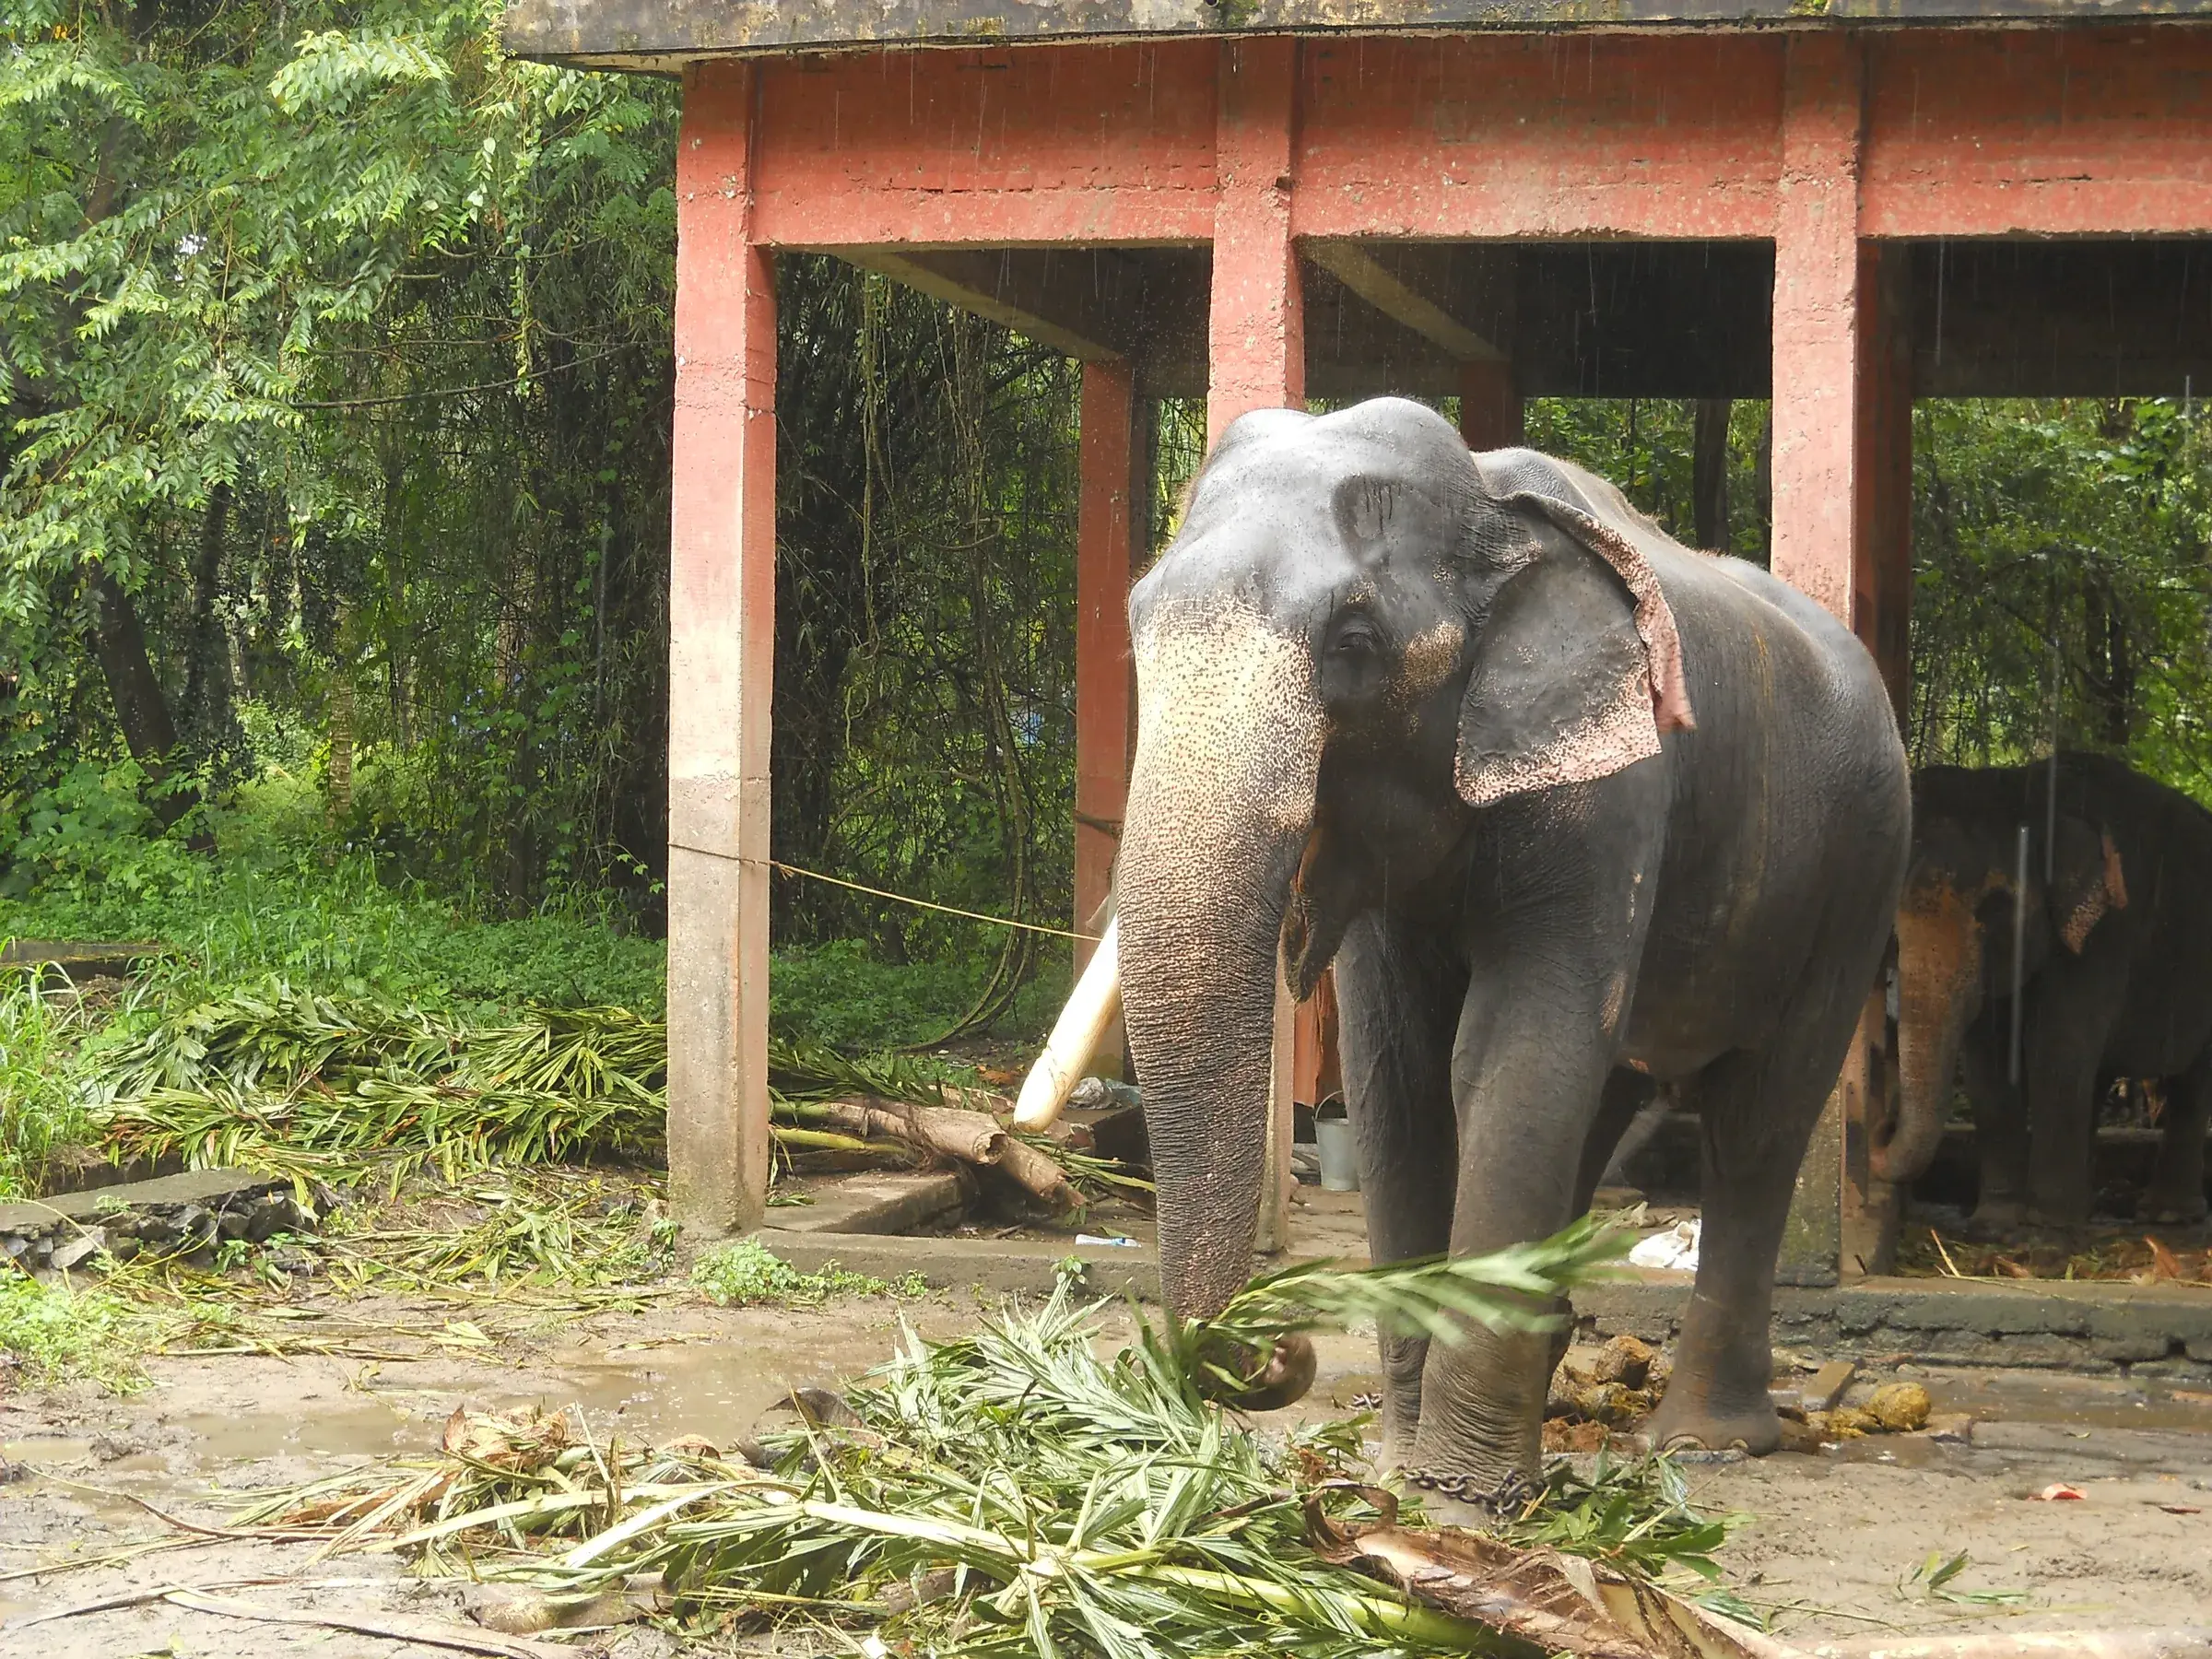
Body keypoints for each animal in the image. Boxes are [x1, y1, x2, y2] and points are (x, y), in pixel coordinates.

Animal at [1061, 397, 1910, 1485]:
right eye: (1137, 627)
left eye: (1356, 641)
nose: (1283, 1350)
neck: (1493, 506)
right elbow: (1403, 1075)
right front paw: (1399, 1470)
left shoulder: (1610, 790)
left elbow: (1510, 1052)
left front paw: (1457, 1496)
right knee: (1604, 1102)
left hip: (1860, 872)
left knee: (1760, 1122)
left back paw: (1703, 1442)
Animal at [1878, 754, 2212, 1228]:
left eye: (1995, 908)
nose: (1882, 1125)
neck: (2024, 789)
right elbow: (1988, 1064)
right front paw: (1996, 1221)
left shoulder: (2105, 936)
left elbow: (2057, 1050)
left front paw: (2044, 1225)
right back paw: (2089, 1209)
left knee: (2193, 1078)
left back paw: (2165, 1215)